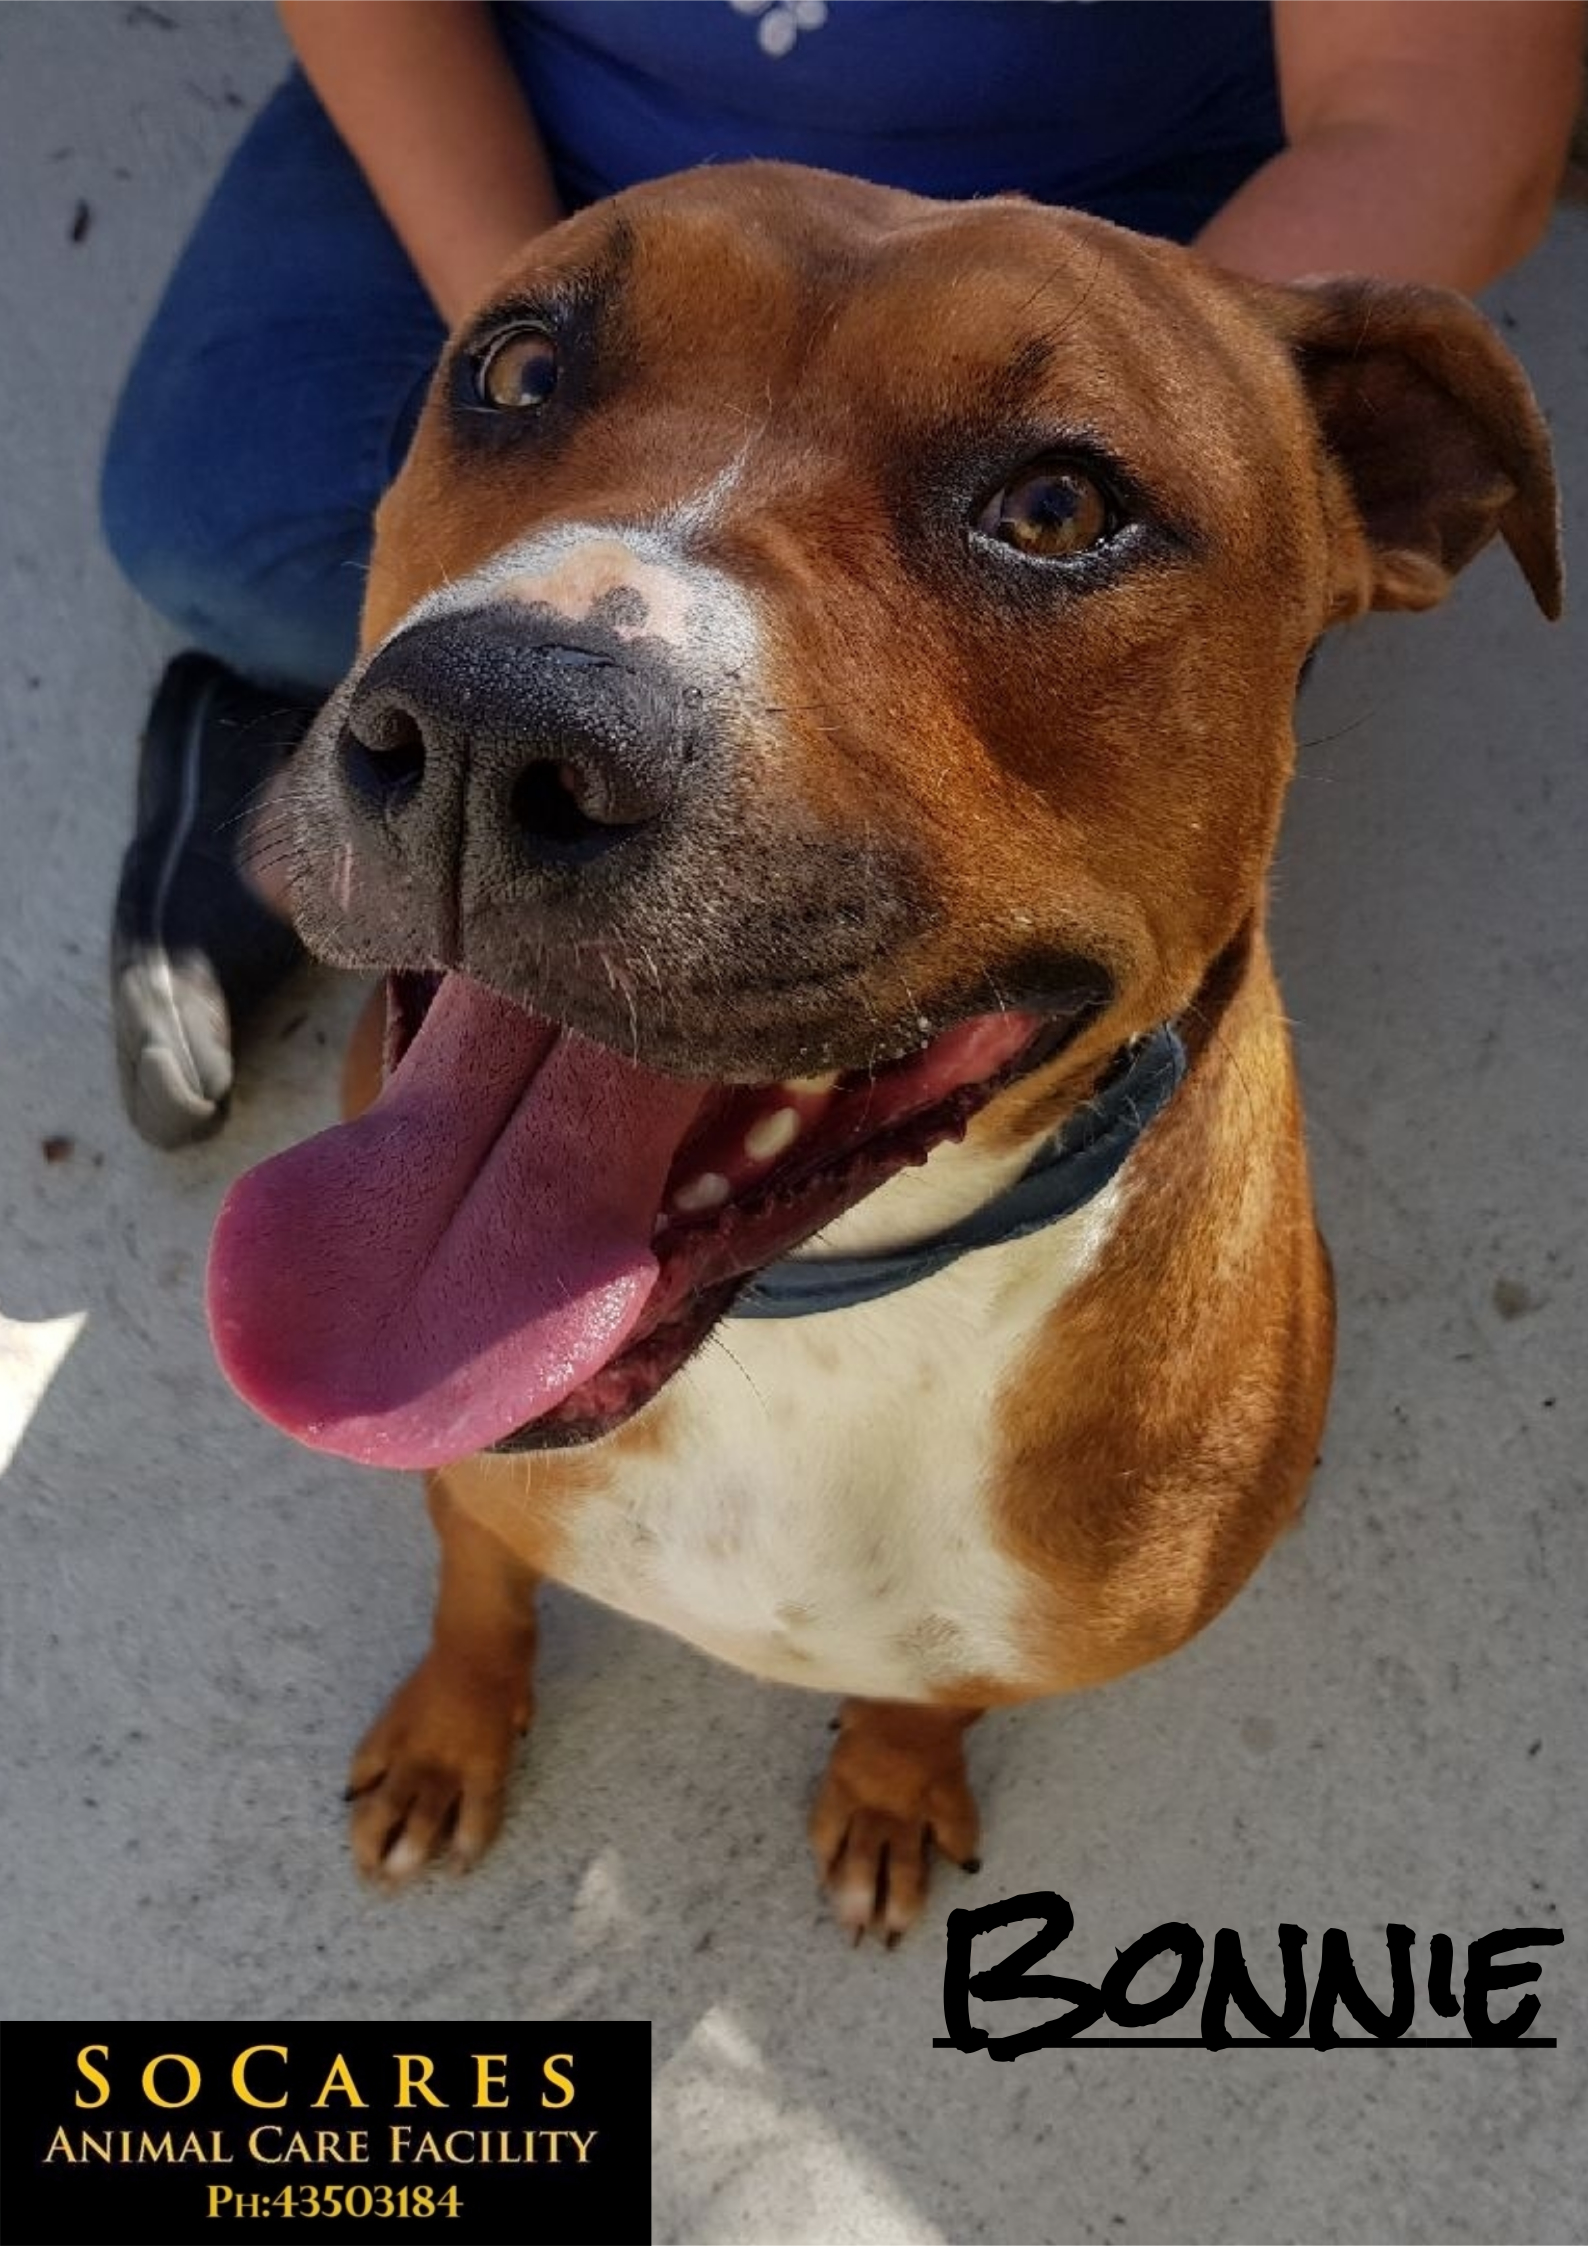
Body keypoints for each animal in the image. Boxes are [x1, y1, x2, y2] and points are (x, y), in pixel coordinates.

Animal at [207, 162, 1560, 1941]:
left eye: (1056, 509)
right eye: (518, 368)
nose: (490, 726)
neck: (825, 1321)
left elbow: (936, 1691)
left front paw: (894, 1782)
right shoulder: (474, 1486)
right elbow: (479, 1586)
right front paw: (450, 1733)